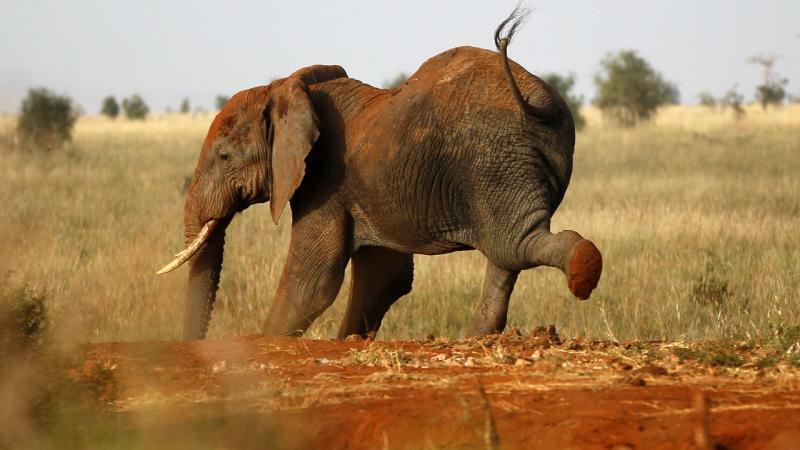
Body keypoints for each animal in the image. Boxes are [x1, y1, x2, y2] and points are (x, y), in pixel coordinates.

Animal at [159, 8, 604, 340]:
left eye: (224, 157)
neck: (284, 88)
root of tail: (538, 99)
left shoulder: (325, 180)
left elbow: (312, 280)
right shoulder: (365, 188)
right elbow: (384, 276)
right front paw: (349, 341)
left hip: (494, 160)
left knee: (513, 244)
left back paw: (583, 269)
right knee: (506, 252)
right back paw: (478, 338)